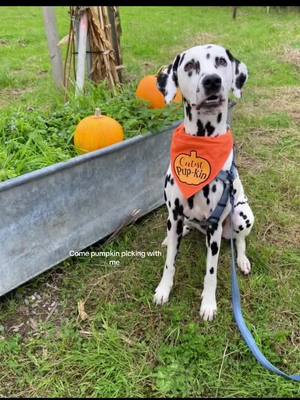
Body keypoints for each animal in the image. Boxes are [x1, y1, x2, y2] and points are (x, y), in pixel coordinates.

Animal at [154, 43, 254, 320]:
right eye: (190, 65)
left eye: (221, 61)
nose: (212, 81)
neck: (202, 142)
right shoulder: (174, 213)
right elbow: (169, 262)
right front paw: (163, 289)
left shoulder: (215, 225)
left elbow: (211, 271)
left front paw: (209, 304)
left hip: (242, 215)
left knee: (240, 241)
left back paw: (242, 260)